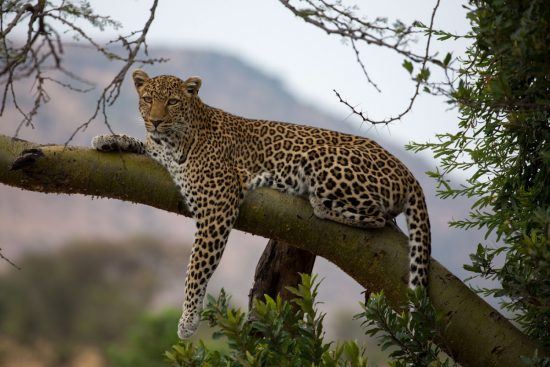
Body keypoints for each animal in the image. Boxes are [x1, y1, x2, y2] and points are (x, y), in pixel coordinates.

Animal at [92, 70, 434, 340]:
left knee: (378, 217)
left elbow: (196, 268)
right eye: (148, 98)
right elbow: (142, 144)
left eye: (173, 102)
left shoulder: (218, 204)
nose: (155, 120)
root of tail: (407, 171)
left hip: (321, 158)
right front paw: (107, 140)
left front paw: (188, 320)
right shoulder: (159, 151)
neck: (177, 137)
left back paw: (319, 203)